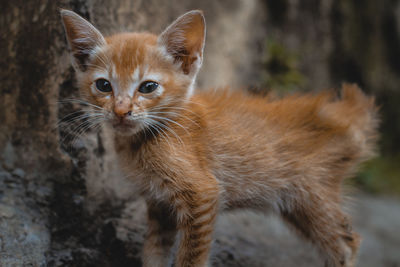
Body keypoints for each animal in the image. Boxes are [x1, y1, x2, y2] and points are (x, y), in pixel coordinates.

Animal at [61, 9, 378, 266]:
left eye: (148, 87)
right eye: (103, 85)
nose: (121, 111)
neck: (145, 139)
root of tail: (345, 112)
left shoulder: (202, 193)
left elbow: (191, 258)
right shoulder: (159, 203)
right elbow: (153, 252)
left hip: (312, 195)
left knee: (347, 244)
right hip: (296, 205)